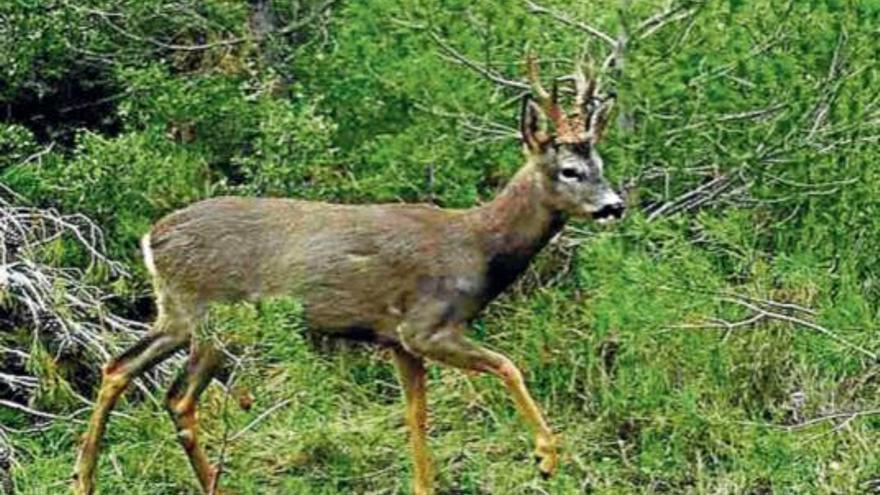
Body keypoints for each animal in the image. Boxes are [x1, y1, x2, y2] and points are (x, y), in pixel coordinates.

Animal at [75, 56, 624, 494]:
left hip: (175, 313)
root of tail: (151, 238)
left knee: (118, 366)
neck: (479, 248)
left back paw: (84, 477)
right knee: (179, 399)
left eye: (600, 162)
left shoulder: (398, 341)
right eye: (570, 171)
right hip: (217, 316)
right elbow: (509, 365)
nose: (615, 205)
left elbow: (416, 418)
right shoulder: (426, 326)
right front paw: (546, 457)